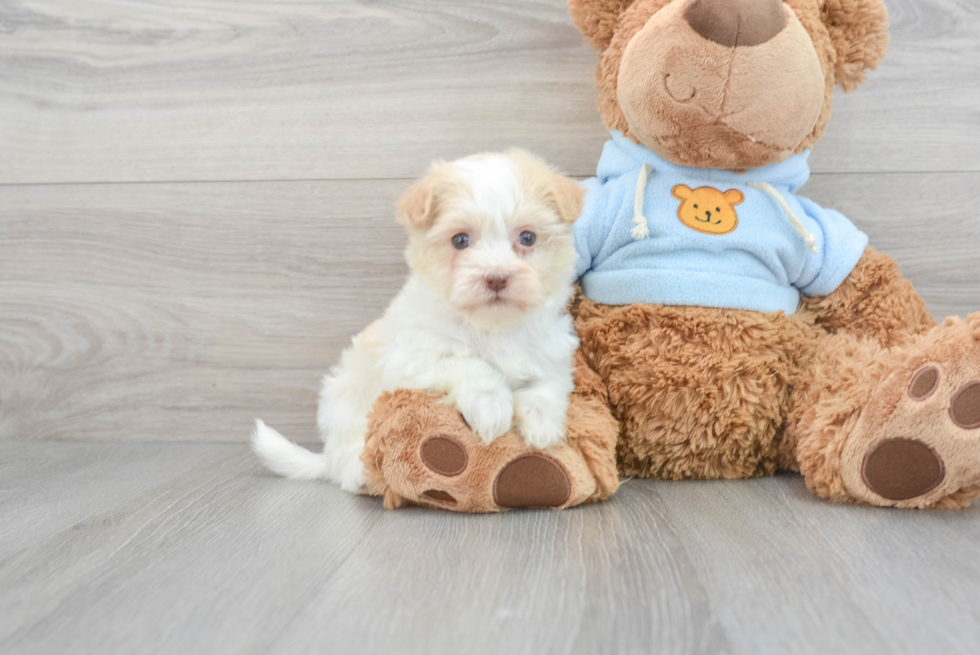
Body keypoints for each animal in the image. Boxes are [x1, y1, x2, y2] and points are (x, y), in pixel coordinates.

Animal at [253, 151, 584, 494]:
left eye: (527, 237)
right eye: (460, 240)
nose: (496, 277)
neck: (491, 327)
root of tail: (327, 456)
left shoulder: (551, 354)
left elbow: (546, 385)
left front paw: (542, 423)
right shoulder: (413, 359)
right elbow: (469, 364)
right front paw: (490, 406)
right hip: (347, 406)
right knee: (348, 457)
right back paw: (360, 473)